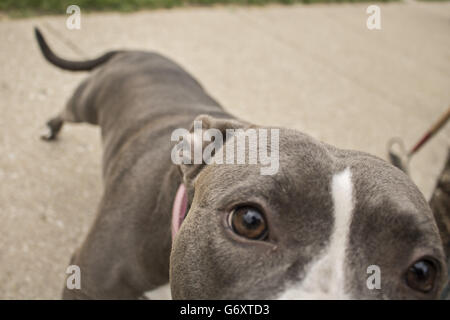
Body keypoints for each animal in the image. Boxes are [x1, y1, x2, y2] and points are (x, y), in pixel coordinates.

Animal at [34, 28, 446, 300]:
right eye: (249, 221)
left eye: (422, 273)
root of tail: (135, 50)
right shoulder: (86, 284)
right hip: (86, 102)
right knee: (66, 109)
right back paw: (50, 127)